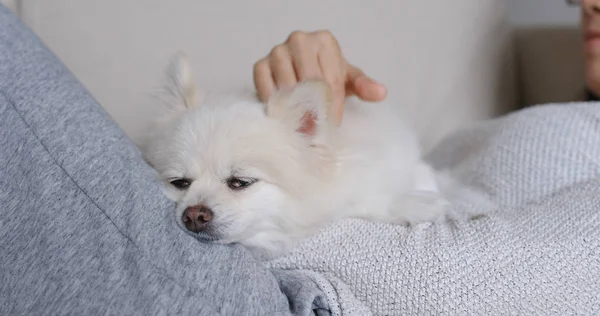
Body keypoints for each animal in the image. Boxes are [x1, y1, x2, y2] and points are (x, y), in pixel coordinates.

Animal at [142, 53, 478, 258]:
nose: (194, 214)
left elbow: (422, 178)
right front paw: (416, 203)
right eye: (179, 183)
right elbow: (372, 203)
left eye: (240, 182)